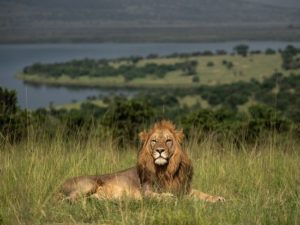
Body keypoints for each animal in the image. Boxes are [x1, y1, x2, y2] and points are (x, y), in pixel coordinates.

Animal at [61, 120, 225, 203]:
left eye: (168, 140)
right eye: (154, 141)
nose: (160, 150)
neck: (167, 170)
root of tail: (60, 184)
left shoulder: (184, 188)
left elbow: (201, 193)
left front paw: (217, 198)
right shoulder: (146, 191)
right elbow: (155, 195)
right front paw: (168, 197)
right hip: (89, 184)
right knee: (69, 199)